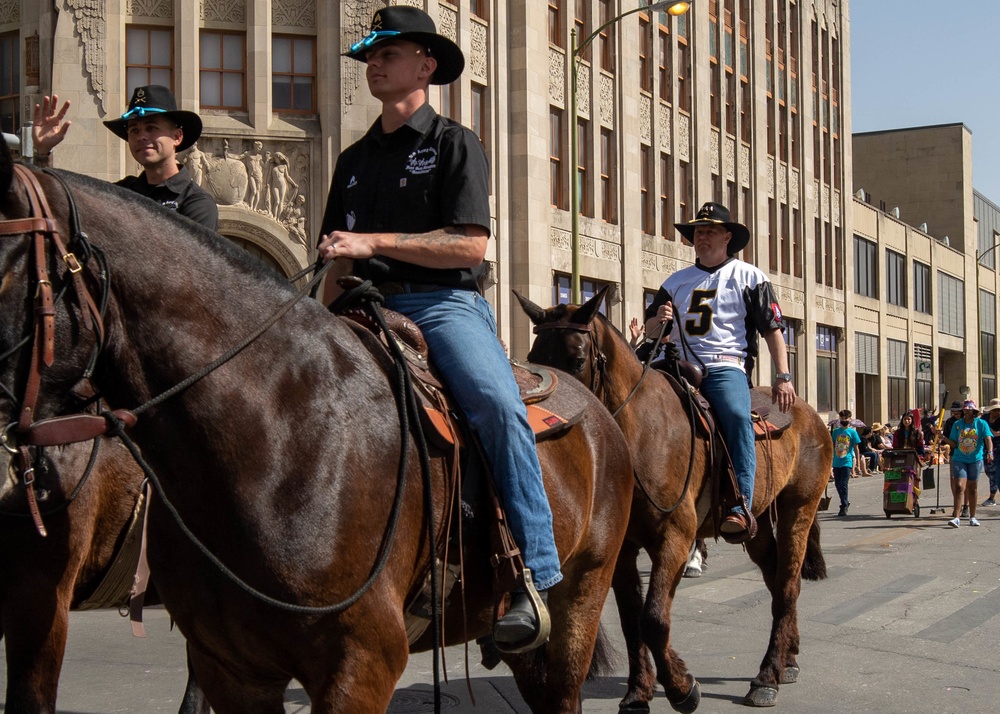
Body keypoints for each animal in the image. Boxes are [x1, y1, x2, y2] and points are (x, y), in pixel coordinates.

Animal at [520, 288, 832, 708]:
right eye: (535, 358)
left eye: (578, 359)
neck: (638, 434)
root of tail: (809, 413)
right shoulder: (621, 550)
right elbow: (631, 620)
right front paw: (639, 692)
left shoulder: (676, 537)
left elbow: (653, 619)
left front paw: (682, 687)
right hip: (760, 527)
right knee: (775, 579)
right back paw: (789, 659)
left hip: (798, 510)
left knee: (787, 585)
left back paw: (767, 676)